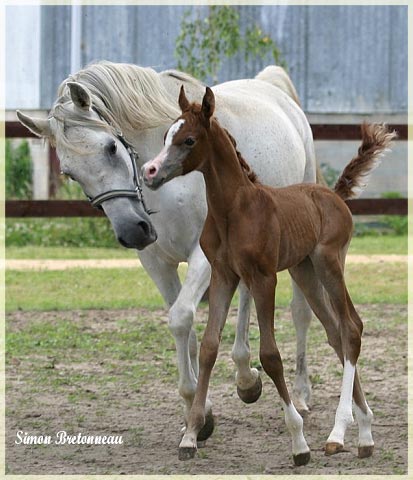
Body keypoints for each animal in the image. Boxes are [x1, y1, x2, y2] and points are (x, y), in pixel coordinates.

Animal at [17, 61, 316, 442]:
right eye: (70, 173)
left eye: (111, 148)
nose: (132, 230)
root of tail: (271, 87)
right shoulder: (156, 263)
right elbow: (187, 332)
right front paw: (199, 415)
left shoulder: (204, 258)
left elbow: (180, 318)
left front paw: (198, 411)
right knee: (248, 297)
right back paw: (246, 379)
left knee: (300, 312)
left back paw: (300, 395)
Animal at [142, 86, 396, 464]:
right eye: (165, 136)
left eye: (188, 139)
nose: (150, 170)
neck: (234, 210)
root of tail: (333, 193)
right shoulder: (223, 276)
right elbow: (209, 348)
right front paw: (190, 435)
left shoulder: (263, 278)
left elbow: (271, 356)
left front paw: (299, 442)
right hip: (305, 271)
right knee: (336, 332)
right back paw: (362, 433)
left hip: (330, 263)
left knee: (351, 327)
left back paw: (341, 432)